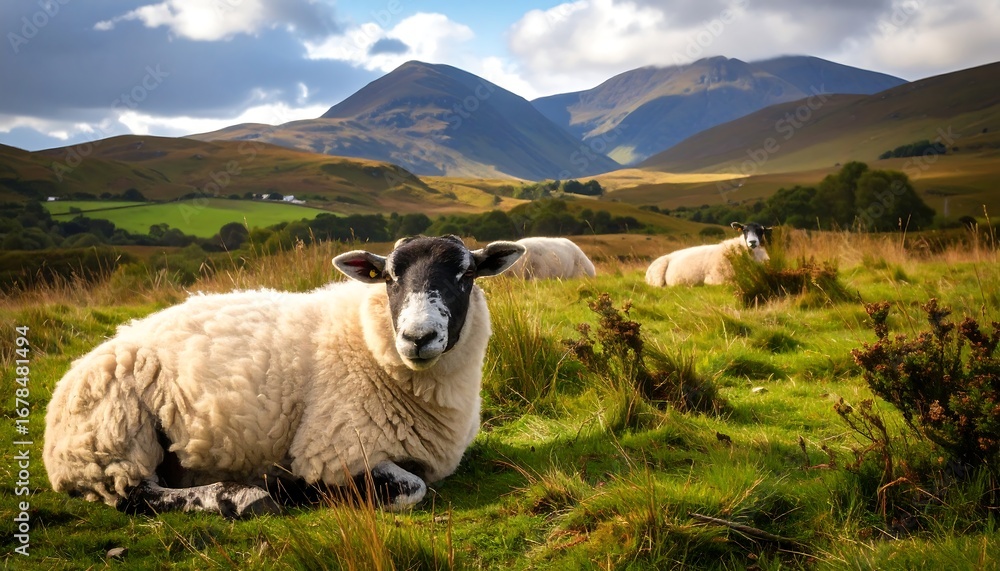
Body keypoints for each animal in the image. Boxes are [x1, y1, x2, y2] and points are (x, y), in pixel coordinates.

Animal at [43, 235, 525, 517]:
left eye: (466, 274)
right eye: (389, 277)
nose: (417, 337)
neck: (366, 342)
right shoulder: (334, 451)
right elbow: (412, 488)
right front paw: (296, 490)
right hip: (114, 437)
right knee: (136, 495)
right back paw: (238, 497)